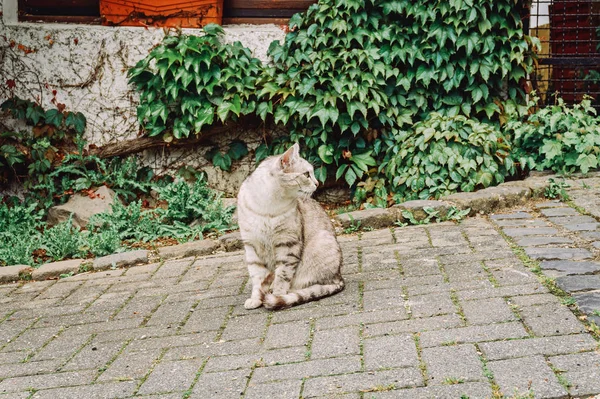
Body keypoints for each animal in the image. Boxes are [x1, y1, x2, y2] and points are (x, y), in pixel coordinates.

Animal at [237, 142, 344, 310]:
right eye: (306, 174)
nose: (317, 183)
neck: (268, 205)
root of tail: (339, 277)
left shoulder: (288, 243)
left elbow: (282, 275)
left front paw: (276, 296)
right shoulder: (252, 245)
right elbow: (257, 277)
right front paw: (256, 299)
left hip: (323, 243)